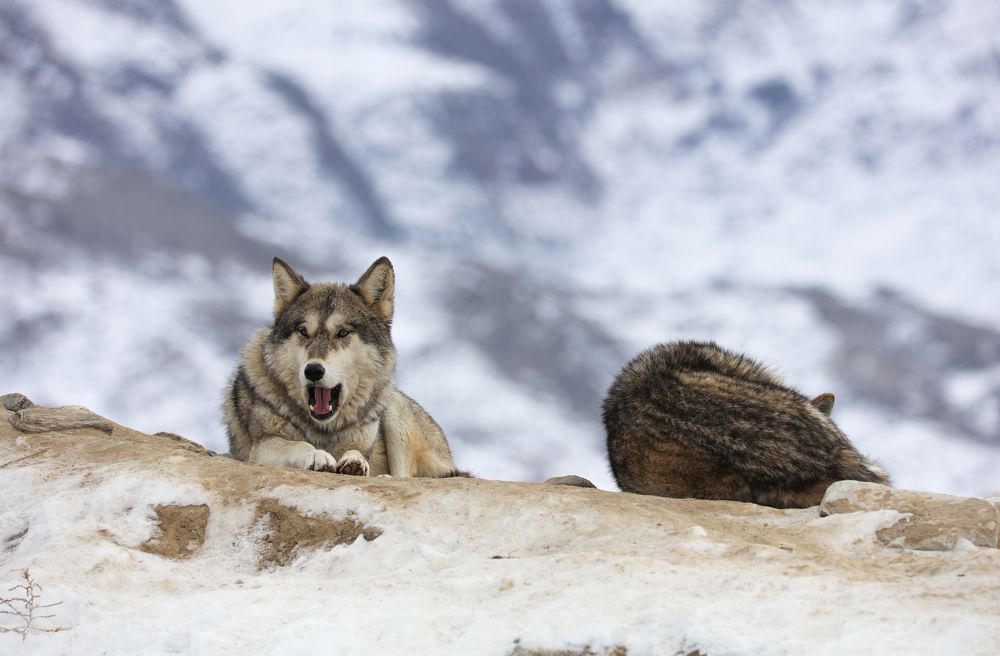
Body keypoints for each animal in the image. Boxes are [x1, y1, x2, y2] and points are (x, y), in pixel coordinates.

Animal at [223, 256, 460, 478]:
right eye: (303, 332)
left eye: (343, 333)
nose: (313, 370)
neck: (324, 429)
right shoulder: (261, 446)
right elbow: (300, 444)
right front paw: (318, 455)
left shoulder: (365, 442)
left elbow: (358, 453)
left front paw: (355, 462)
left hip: (394, 409)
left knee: (403, 474)